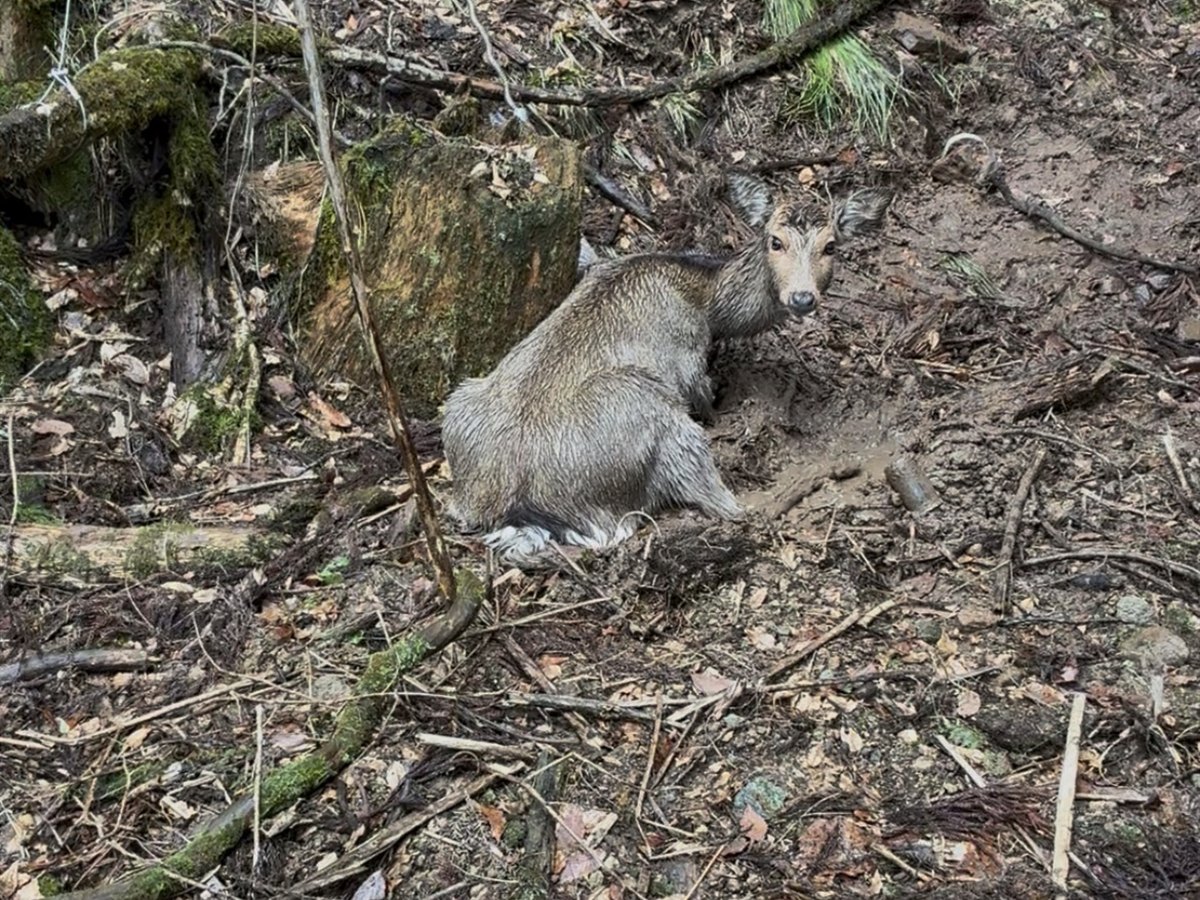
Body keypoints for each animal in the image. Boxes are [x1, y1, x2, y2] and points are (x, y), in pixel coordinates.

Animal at [442, 175, 891, 564]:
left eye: (830, 246)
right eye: (775, 240)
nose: (801, 298)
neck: (709, 300)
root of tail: (518, 504)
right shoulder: (689, 361)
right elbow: (705, 397)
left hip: (459, 401)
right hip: (657, 419)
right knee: (719, 501)